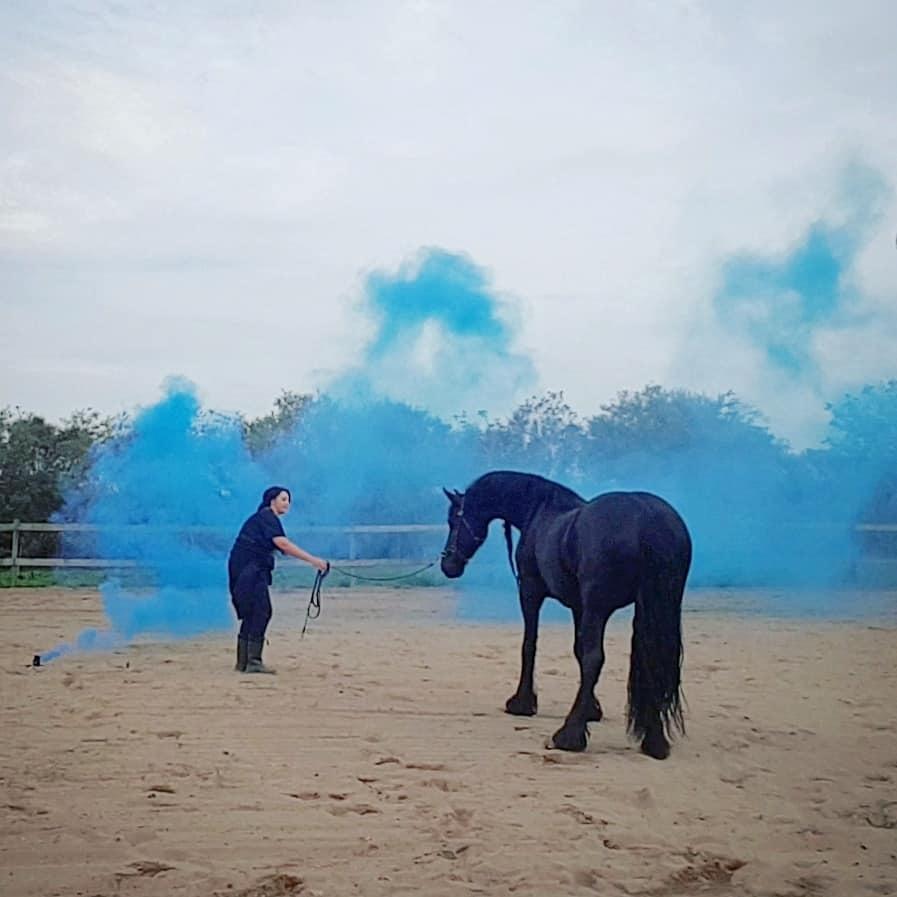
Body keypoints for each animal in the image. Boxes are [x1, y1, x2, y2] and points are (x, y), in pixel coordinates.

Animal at [440, 468, 692, 756]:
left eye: (453, 520)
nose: (448, 564)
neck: (539, 511)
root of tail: (648, 519)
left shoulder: (530, 593)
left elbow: (531, 645)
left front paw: (522, 703)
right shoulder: (578, 606)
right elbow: (577, 650)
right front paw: (592, 709)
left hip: (599, 608)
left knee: (596, 658)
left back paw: (569, 735)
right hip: (656, 608)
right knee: (655, 661)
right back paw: (655, 740)